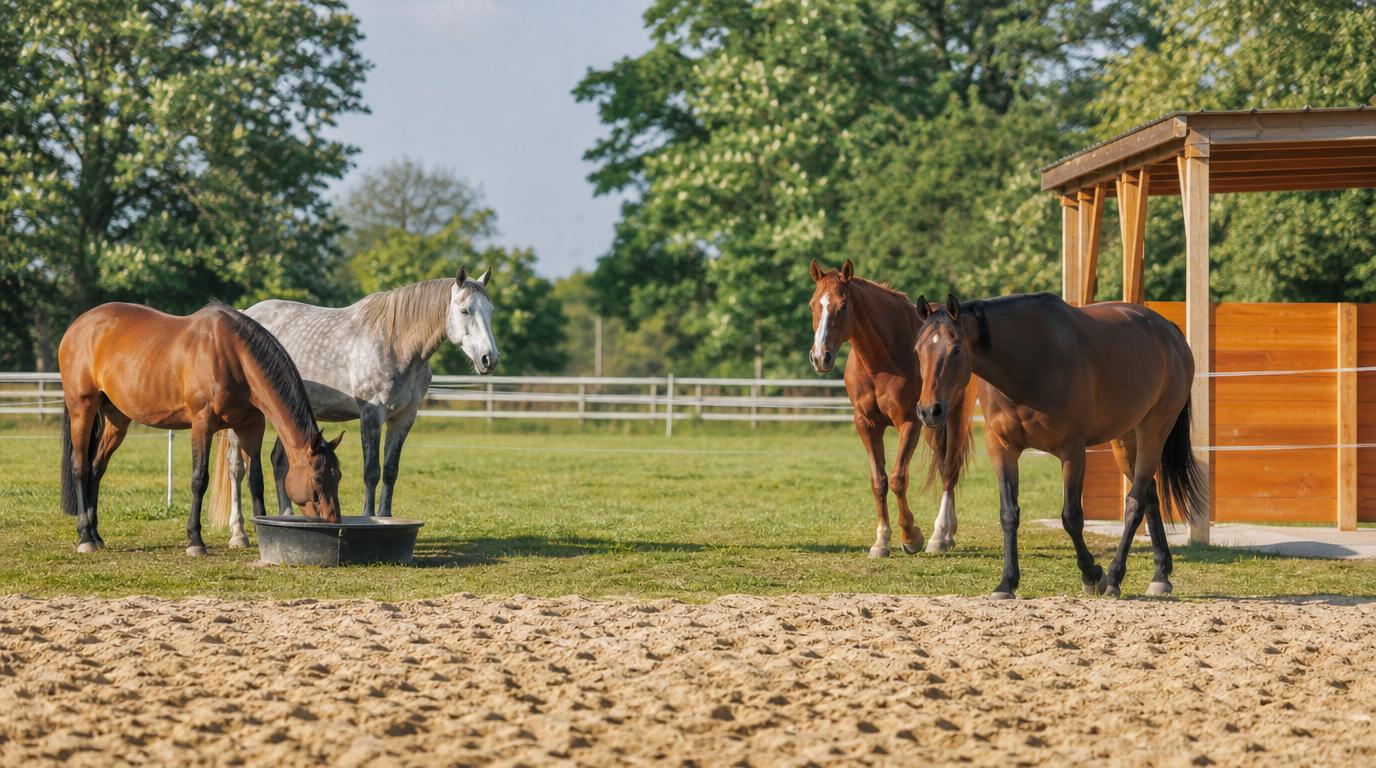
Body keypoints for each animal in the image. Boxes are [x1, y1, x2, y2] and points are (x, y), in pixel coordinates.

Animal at [58, 302, 345, 556]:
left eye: (338, 476)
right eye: (318, 478)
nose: (334, 522)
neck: (233, 356)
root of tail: (78, 325)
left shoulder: (252, 426)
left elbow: (255, 479)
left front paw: (258, 528)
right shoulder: (202, 424)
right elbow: (199, 479)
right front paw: (195, 540)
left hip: (117, 419)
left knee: (97, 468)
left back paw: (96, 534)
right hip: (82, 409)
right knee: (81, 467)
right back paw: (85, 536)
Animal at [211, 266, 498, 544]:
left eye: (491, 311)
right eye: (464, 310)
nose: (489, 358)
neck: (396, 343)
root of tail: (244, 314)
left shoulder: (404, 417)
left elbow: (390, 471)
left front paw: (387, 517)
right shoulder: (371, 414)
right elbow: (371, 472)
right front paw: (369, 518)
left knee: (280, 461)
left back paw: (285, 517)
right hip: (245, 419)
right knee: (236, 469)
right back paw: (239, 534)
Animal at [808, 259, 979, 557]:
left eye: (843, 305)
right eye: (812, 305)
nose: (820, 357)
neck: (881, 362)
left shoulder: (909, 422)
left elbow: (899, 478)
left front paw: (911, 536)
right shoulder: (866, 424)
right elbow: (879, 481)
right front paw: (881, 540)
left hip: (954, 416)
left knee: (950, 468)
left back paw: (939, 536)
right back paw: (948, 534)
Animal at [914, 292, 1207, 598]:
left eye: (956, 349)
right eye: (918, 350)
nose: (929, 411)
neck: (1029, 364)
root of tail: (1170, 332)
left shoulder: (1072, 452)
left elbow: (1072, 517)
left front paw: (1092, 575)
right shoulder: (1002, 449)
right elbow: (1008, 514)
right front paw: (1007, 582)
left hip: (1153, 431)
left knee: (1135, 502)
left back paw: (1115, 576)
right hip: (1125, 439)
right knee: (1149, 494)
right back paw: (1160, 574)